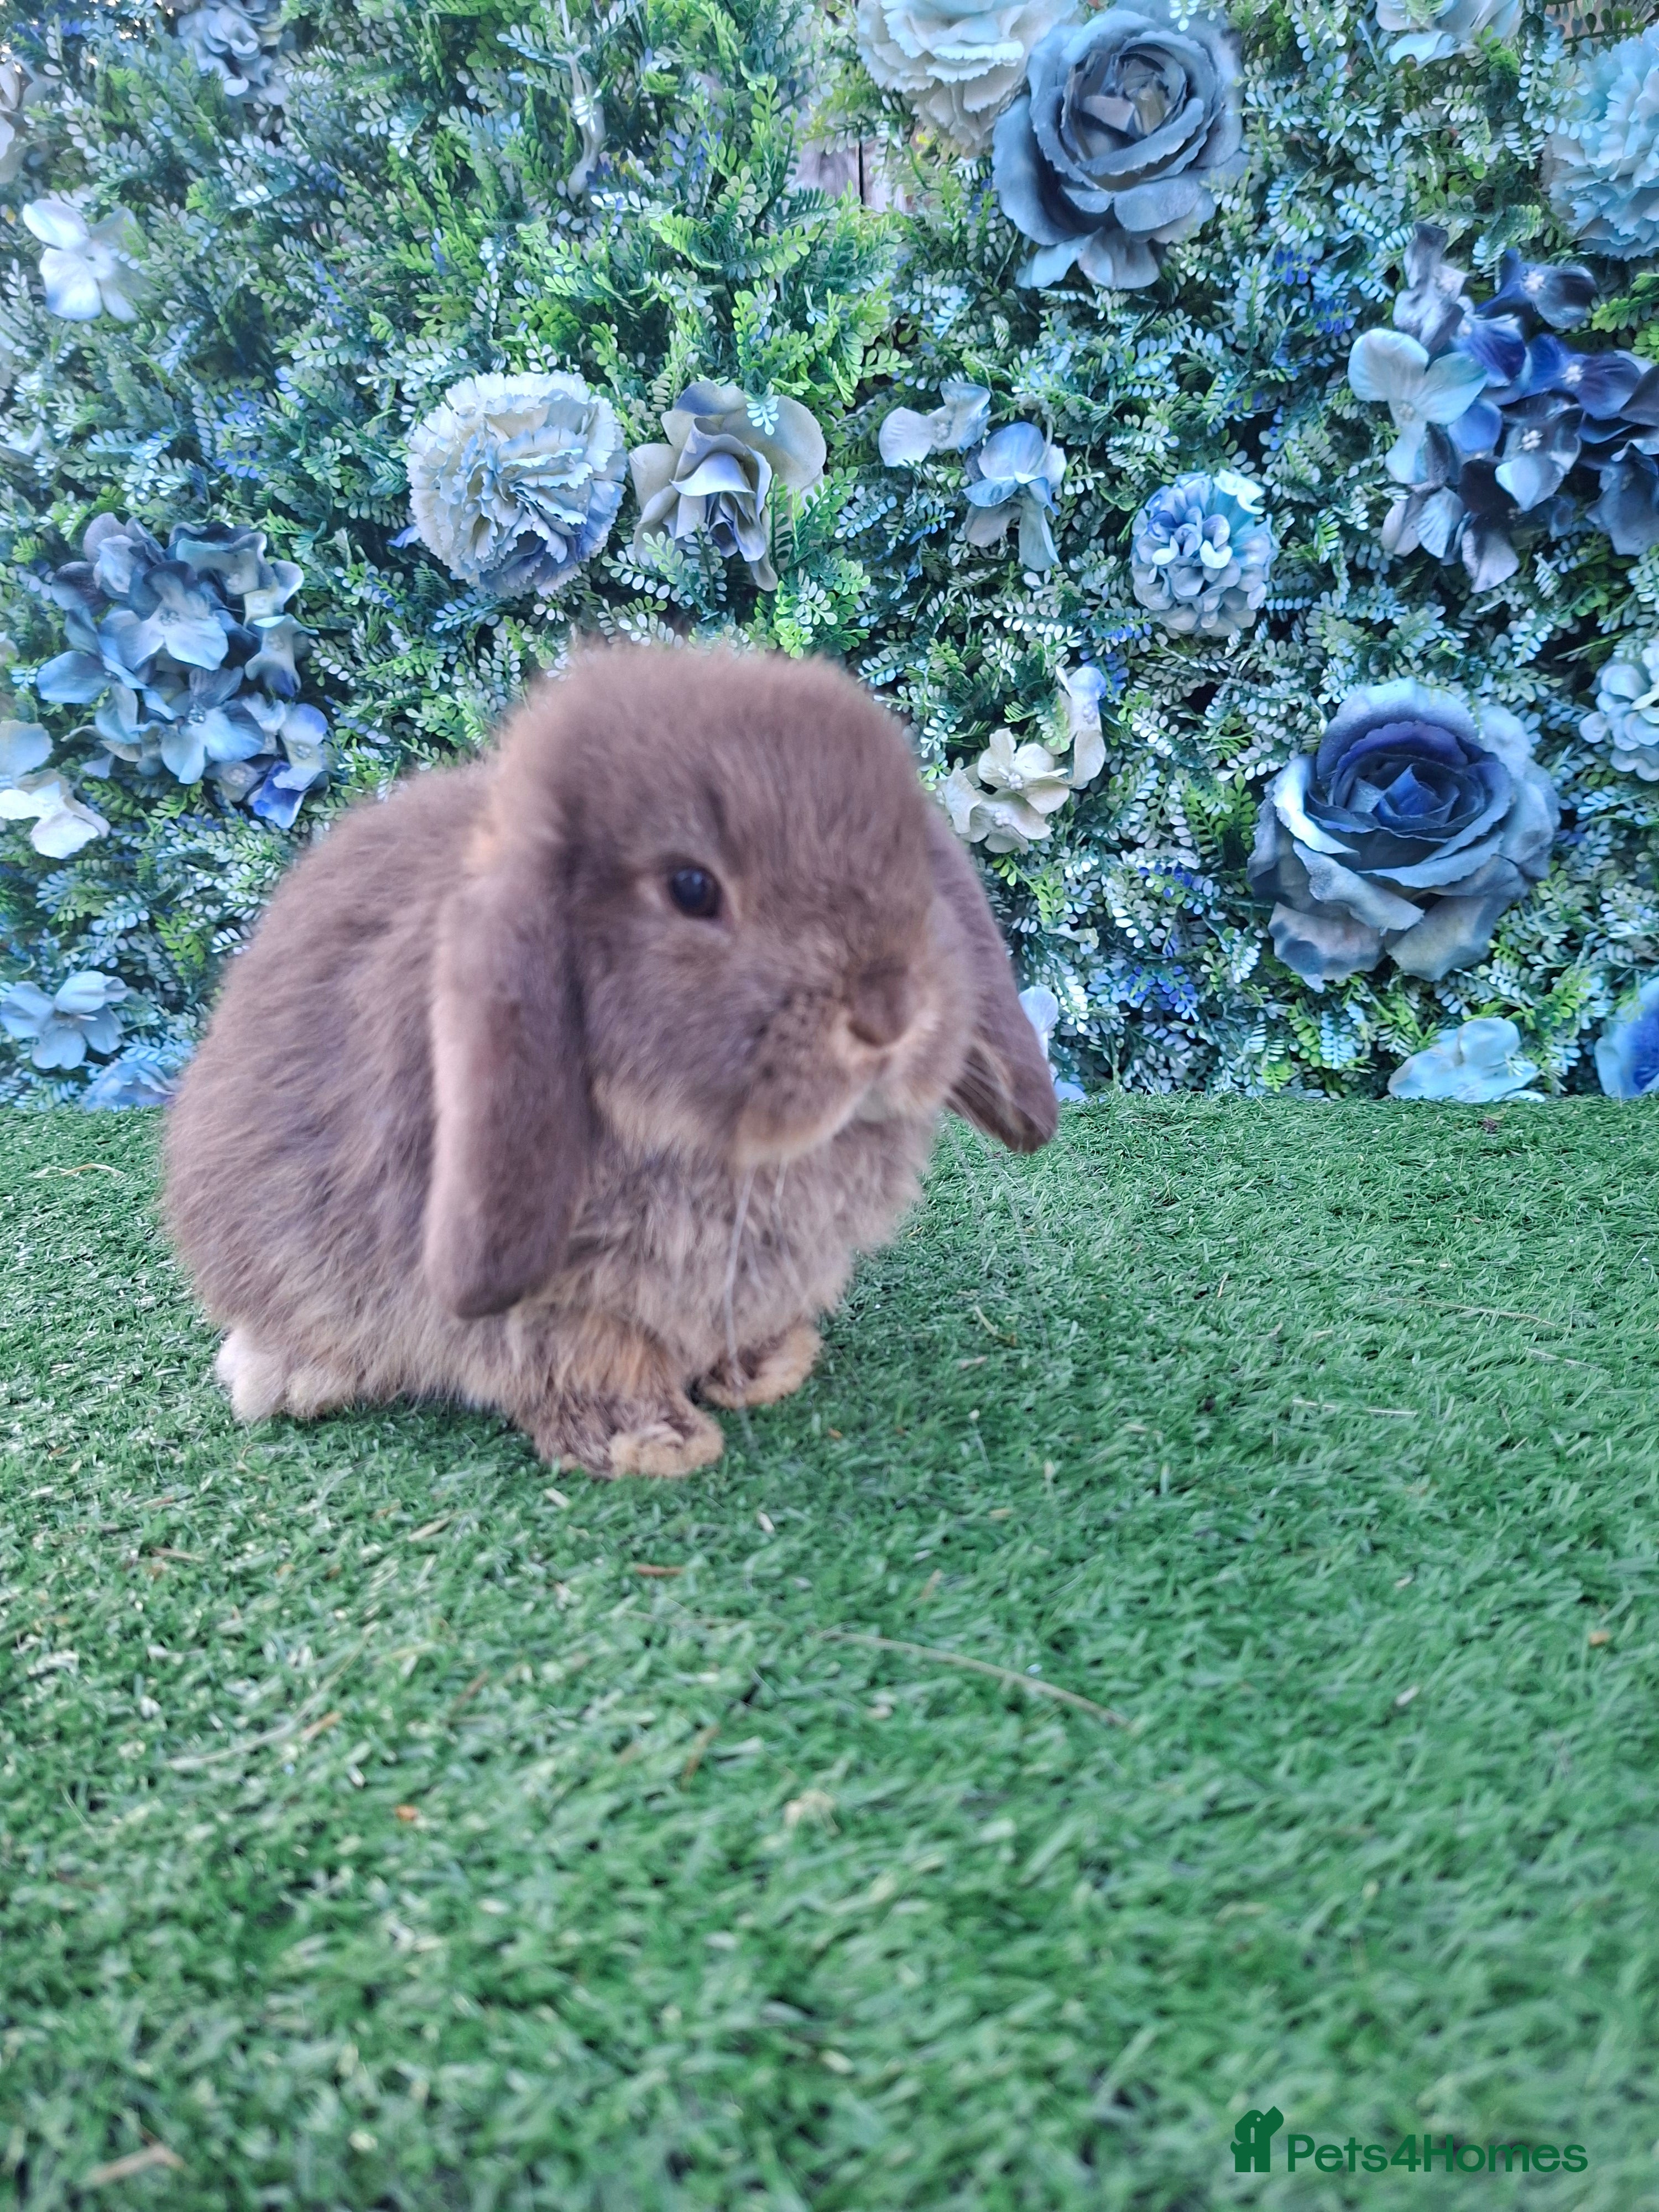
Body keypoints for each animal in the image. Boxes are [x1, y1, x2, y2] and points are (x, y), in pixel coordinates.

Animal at [164, 643, 1059, 1476]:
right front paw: (655, 1446)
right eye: (692, 888)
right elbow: (598, 1365)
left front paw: (774, 1367)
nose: (889, 1015)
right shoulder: (559, 1307)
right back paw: (285, 1378)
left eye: (910, 859)